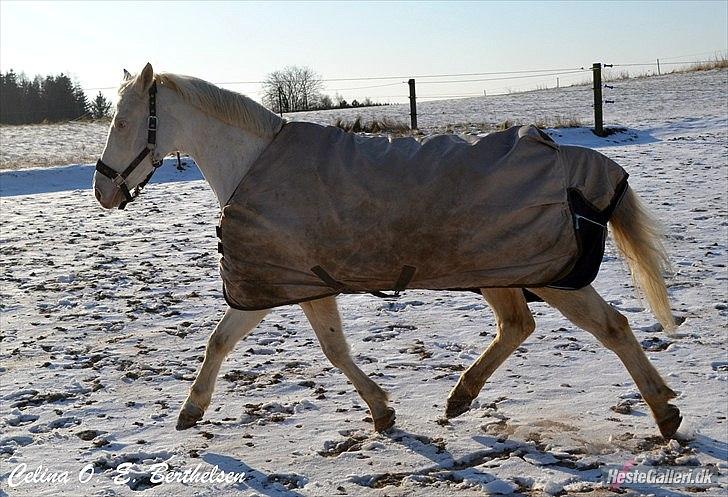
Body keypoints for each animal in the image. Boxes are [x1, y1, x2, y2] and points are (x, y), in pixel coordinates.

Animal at [92, 64, 684, 440]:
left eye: (122, 122)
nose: (103, 191)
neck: (253, 164)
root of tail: (574, 162)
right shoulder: (286, 282)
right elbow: (242, 342)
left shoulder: (287, 284)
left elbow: (314, 349)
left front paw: (381, 411)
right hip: (500, 272)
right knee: (520, 326)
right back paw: (461, 397)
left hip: (546, 275)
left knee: (611, 328)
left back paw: (664, 414)